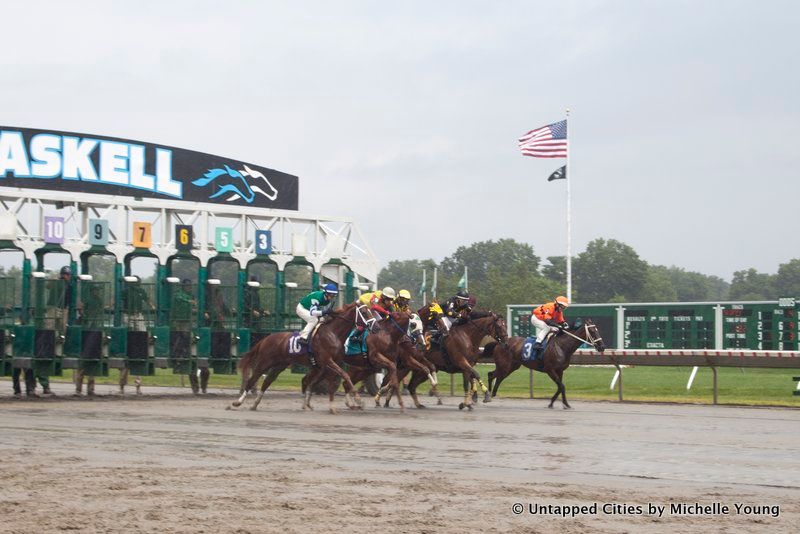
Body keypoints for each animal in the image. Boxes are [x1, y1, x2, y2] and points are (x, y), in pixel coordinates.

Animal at [230, 306, 370, 414]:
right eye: (364, 312)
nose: (371, 324)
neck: (333, 333)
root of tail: (265, 339)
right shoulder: (328, 361)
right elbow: (344, 375)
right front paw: (358, 399)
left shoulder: (331, 363)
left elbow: (331, 382)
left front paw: (334, 406)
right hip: (264, 362)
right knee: (252, 380)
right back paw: (237, 402)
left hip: (279, 365)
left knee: (267, 381)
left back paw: (255, 404)